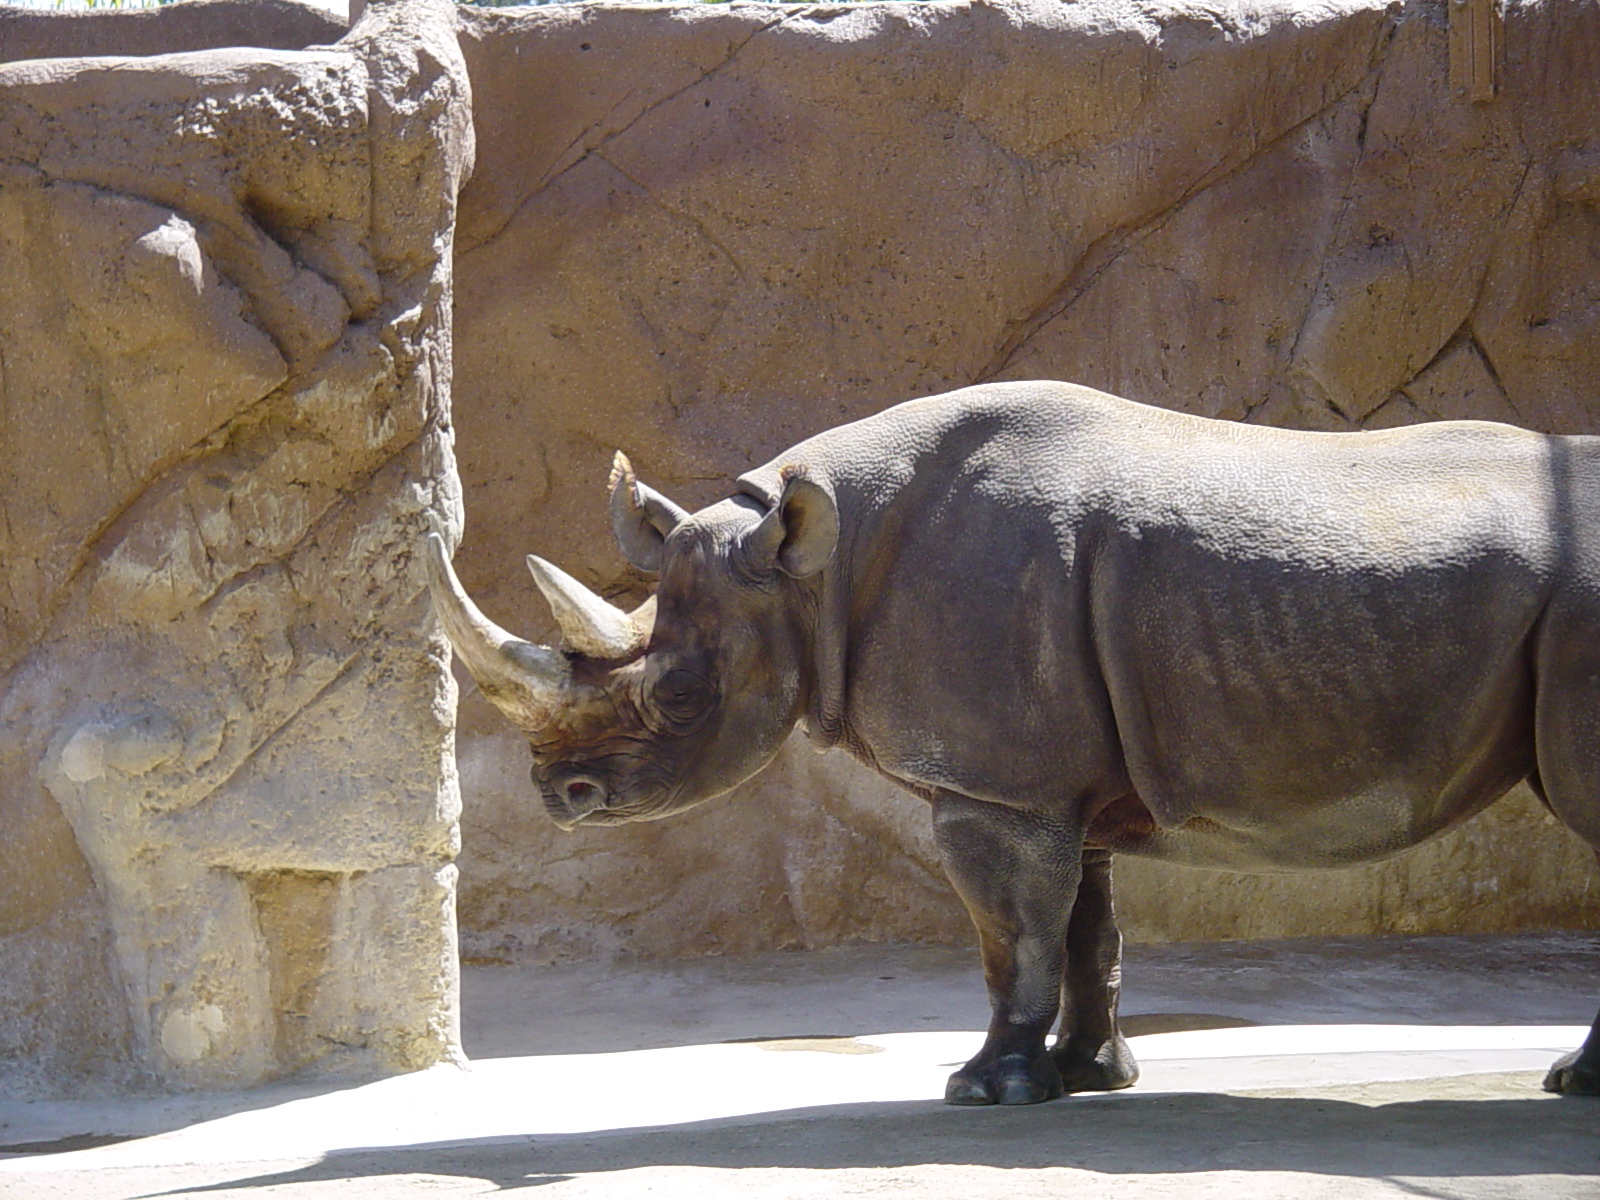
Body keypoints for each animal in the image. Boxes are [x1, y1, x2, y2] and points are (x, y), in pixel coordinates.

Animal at [425, 380, 1600, 1105]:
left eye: (676, 698)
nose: (558, 796)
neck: (810, 576)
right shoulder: (1057, 779)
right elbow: (1087, 932)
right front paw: (1090, 1077)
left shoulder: (998, 785)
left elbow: (1012, 937)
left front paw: (984, 1090)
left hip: (1582, 603)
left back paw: (1570, 1086)